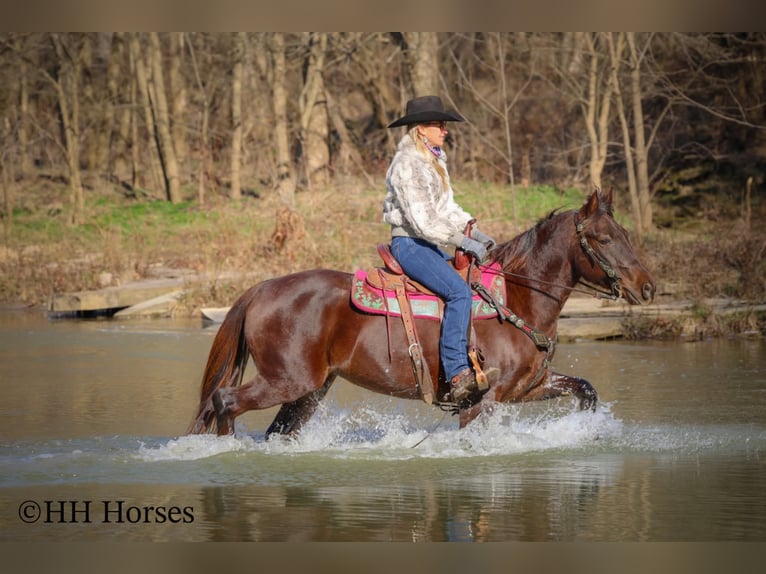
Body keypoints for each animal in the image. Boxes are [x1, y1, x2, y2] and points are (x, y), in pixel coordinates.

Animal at [187, 188, 655, 437]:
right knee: (225, 400)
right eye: (603, 238)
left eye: (623, 232)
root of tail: (263, 288)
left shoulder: (527, 388)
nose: (647, 286)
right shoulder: (482, 402)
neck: (516, 299)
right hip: (287, 380)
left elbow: (586, 391)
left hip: (310, 389)